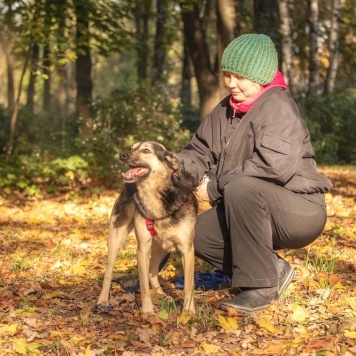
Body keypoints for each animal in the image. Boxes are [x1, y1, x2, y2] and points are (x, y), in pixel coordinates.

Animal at [96, 140, 197, 316]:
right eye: (131, 148)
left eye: (146, 151)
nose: (122, 154)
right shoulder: (142, 248)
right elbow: (143, 286)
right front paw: (148, 311)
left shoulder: (187, 249)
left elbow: (189, 284)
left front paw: (188, 311)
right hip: (117, 238)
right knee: (109, 271)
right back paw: (103, 300)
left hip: (163, 247)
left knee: (152, 271)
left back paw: (163, 295)